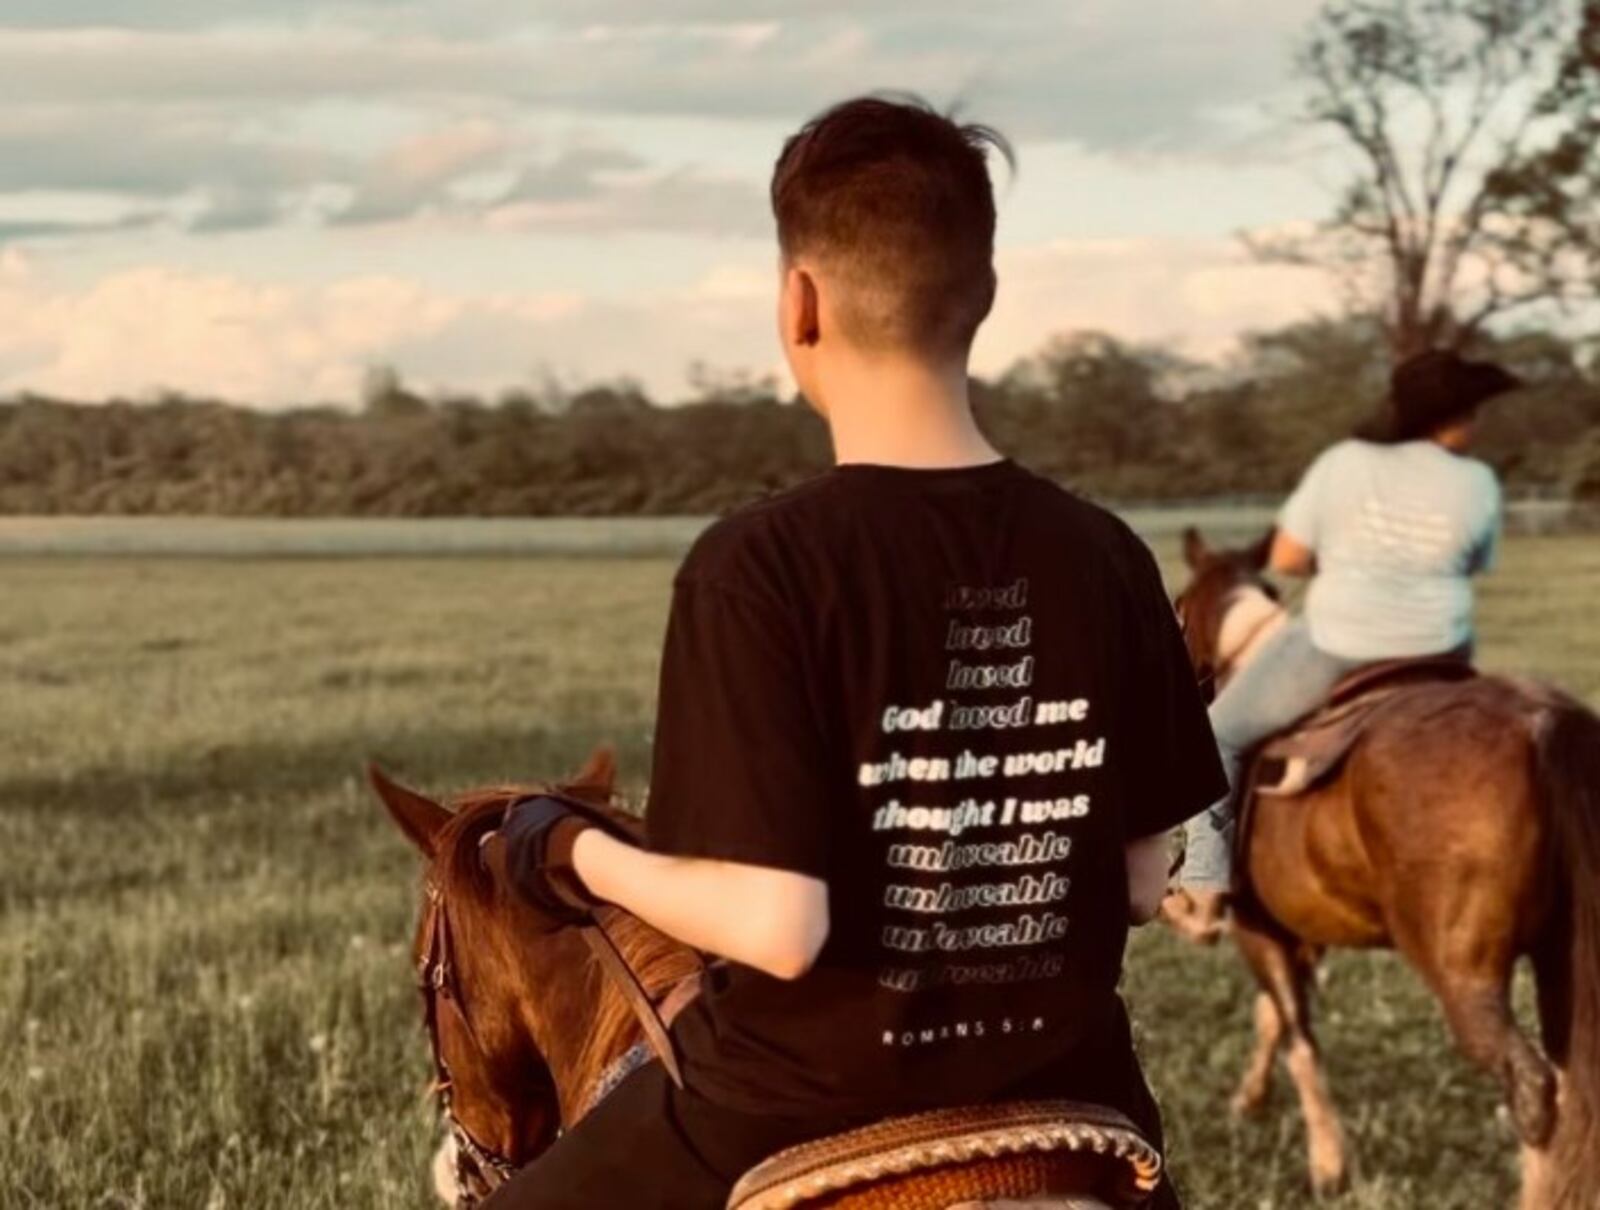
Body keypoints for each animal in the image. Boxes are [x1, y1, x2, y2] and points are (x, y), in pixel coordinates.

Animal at [1171, 528, 1600, 1210]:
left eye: (1180, 607)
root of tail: (1542, 722)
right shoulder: (1300, 929)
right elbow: (1273, 1018)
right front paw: (1250, 1100)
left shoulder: (1256, 927)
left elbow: (1296, 1033)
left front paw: (1327, 1164)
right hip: (1566, 960)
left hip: (1465, 975)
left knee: (1534, 1092)